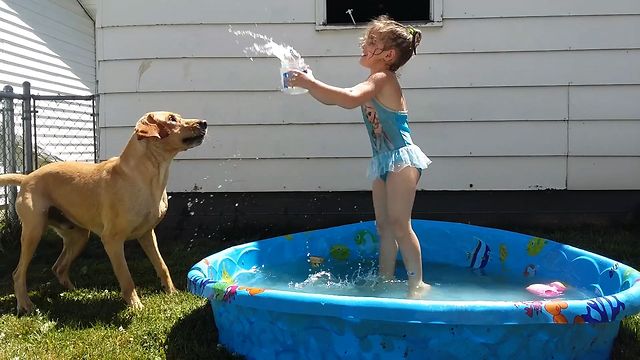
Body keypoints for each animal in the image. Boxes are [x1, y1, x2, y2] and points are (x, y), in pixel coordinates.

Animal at [0, 111, 206, 314]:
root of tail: (27, 178)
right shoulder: (112, 240)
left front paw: (172, 292)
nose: (204, 122)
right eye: (171, 119)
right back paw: (25, 304)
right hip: (33, 233)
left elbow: (162, 265)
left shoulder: (147, 234)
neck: (146, 176)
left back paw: (73, 292)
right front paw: (135, 305)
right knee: (18, 273)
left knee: (58, 267)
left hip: (79, 236)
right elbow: (126, 277)